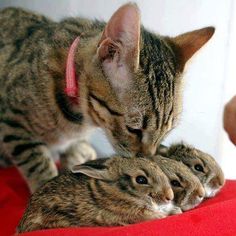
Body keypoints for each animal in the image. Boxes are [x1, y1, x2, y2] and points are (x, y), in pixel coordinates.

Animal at [0, 3, 214, 192]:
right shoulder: (13, 123)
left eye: (166, 133)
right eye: (134, 129)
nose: (147, 158)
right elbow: (37, 162)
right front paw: (45, 184)